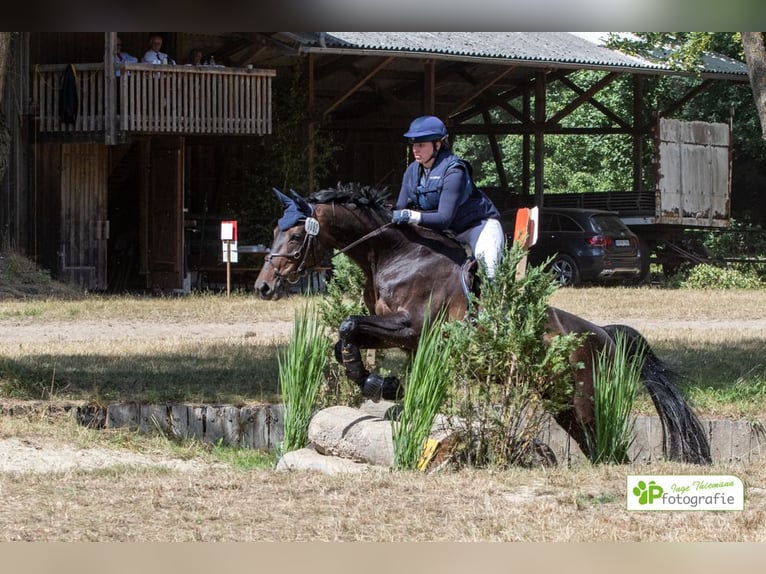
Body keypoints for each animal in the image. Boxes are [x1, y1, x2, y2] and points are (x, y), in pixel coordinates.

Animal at [258, 184, 712, 468]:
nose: (264, 286)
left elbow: (349, 325)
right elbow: (345, 336)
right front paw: (383, 384)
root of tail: (604, 334)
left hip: (584, 400)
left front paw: (381, 384)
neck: (395, 254)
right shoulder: (397, 333)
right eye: (276, 229)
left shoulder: (413, 329)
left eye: (295, 236)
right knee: (596, 447)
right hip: (561, 402)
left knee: (607, 448)